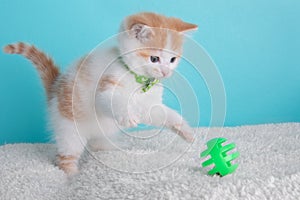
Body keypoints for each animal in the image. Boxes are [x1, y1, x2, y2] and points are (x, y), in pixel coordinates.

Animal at [4, 12, 199, 175]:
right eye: (154, 58)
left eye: (172, 59)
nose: (166, 72)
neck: (137, 78)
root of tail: (54, 89)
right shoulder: (106, 86)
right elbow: (111, 100)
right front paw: (127, 115)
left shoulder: (148, 104)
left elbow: (165, 115)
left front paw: (186, 131)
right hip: (69, 128)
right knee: (65, 157)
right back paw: (72, 175)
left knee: (98, 143)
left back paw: (108, 148)